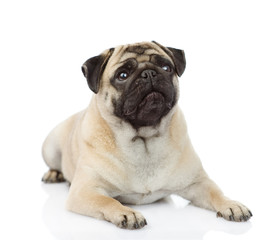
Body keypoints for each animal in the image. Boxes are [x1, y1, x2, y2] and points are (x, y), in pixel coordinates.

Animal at [42, 41, 254, 229]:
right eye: (122, 75)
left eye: (166, 67)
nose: (149, 73)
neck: (144, 142)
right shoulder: (85, 191)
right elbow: (108, 202)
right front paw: (127, 213)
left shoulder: (197, 183)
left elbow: (216, 193)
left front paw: (232, 205)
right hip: (50, 148)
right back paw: (54, 174)